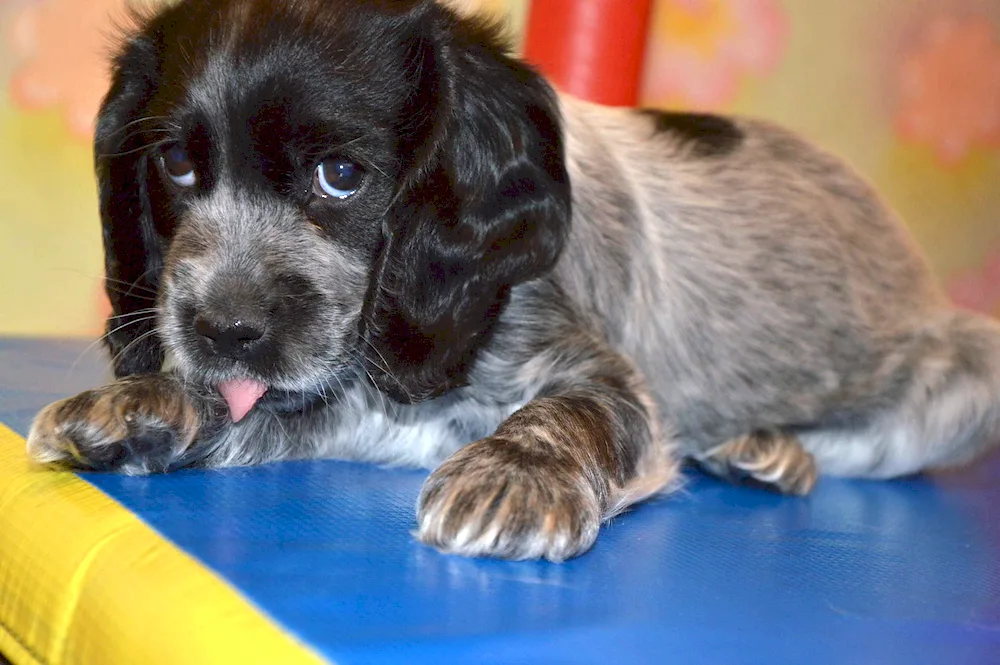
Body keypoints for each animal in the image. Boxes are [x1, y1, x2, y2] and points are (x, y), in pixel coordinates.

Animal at [25, 0, 1000, 560]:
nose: (223, 331)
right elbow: (283, 407)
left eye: (341, 176)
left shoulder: (597, 374)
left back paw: (773, 450)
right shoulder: (376, 405)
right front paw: (149, 405)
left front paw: (516, 477)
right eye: (178, 166)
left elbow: (573, 411)